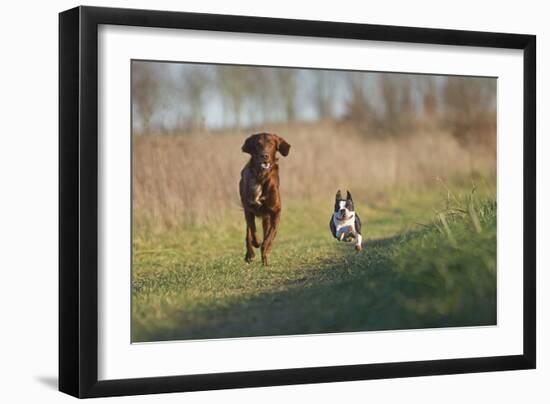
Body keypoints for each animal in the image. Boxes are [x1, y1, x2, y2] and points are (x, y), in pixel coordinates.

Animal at [242, 133, 294, 266]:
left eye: (271, 144)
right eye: (258, 144)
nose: (264, 155)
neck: (261, 176)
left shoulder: (276, 211)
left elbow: (270, 235)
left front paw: (266, 250)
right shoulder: (248, 209)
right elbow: (252, 231)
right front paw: (256, 243)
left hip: (266, 217)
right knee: (248, 233)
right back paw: (250, 254)